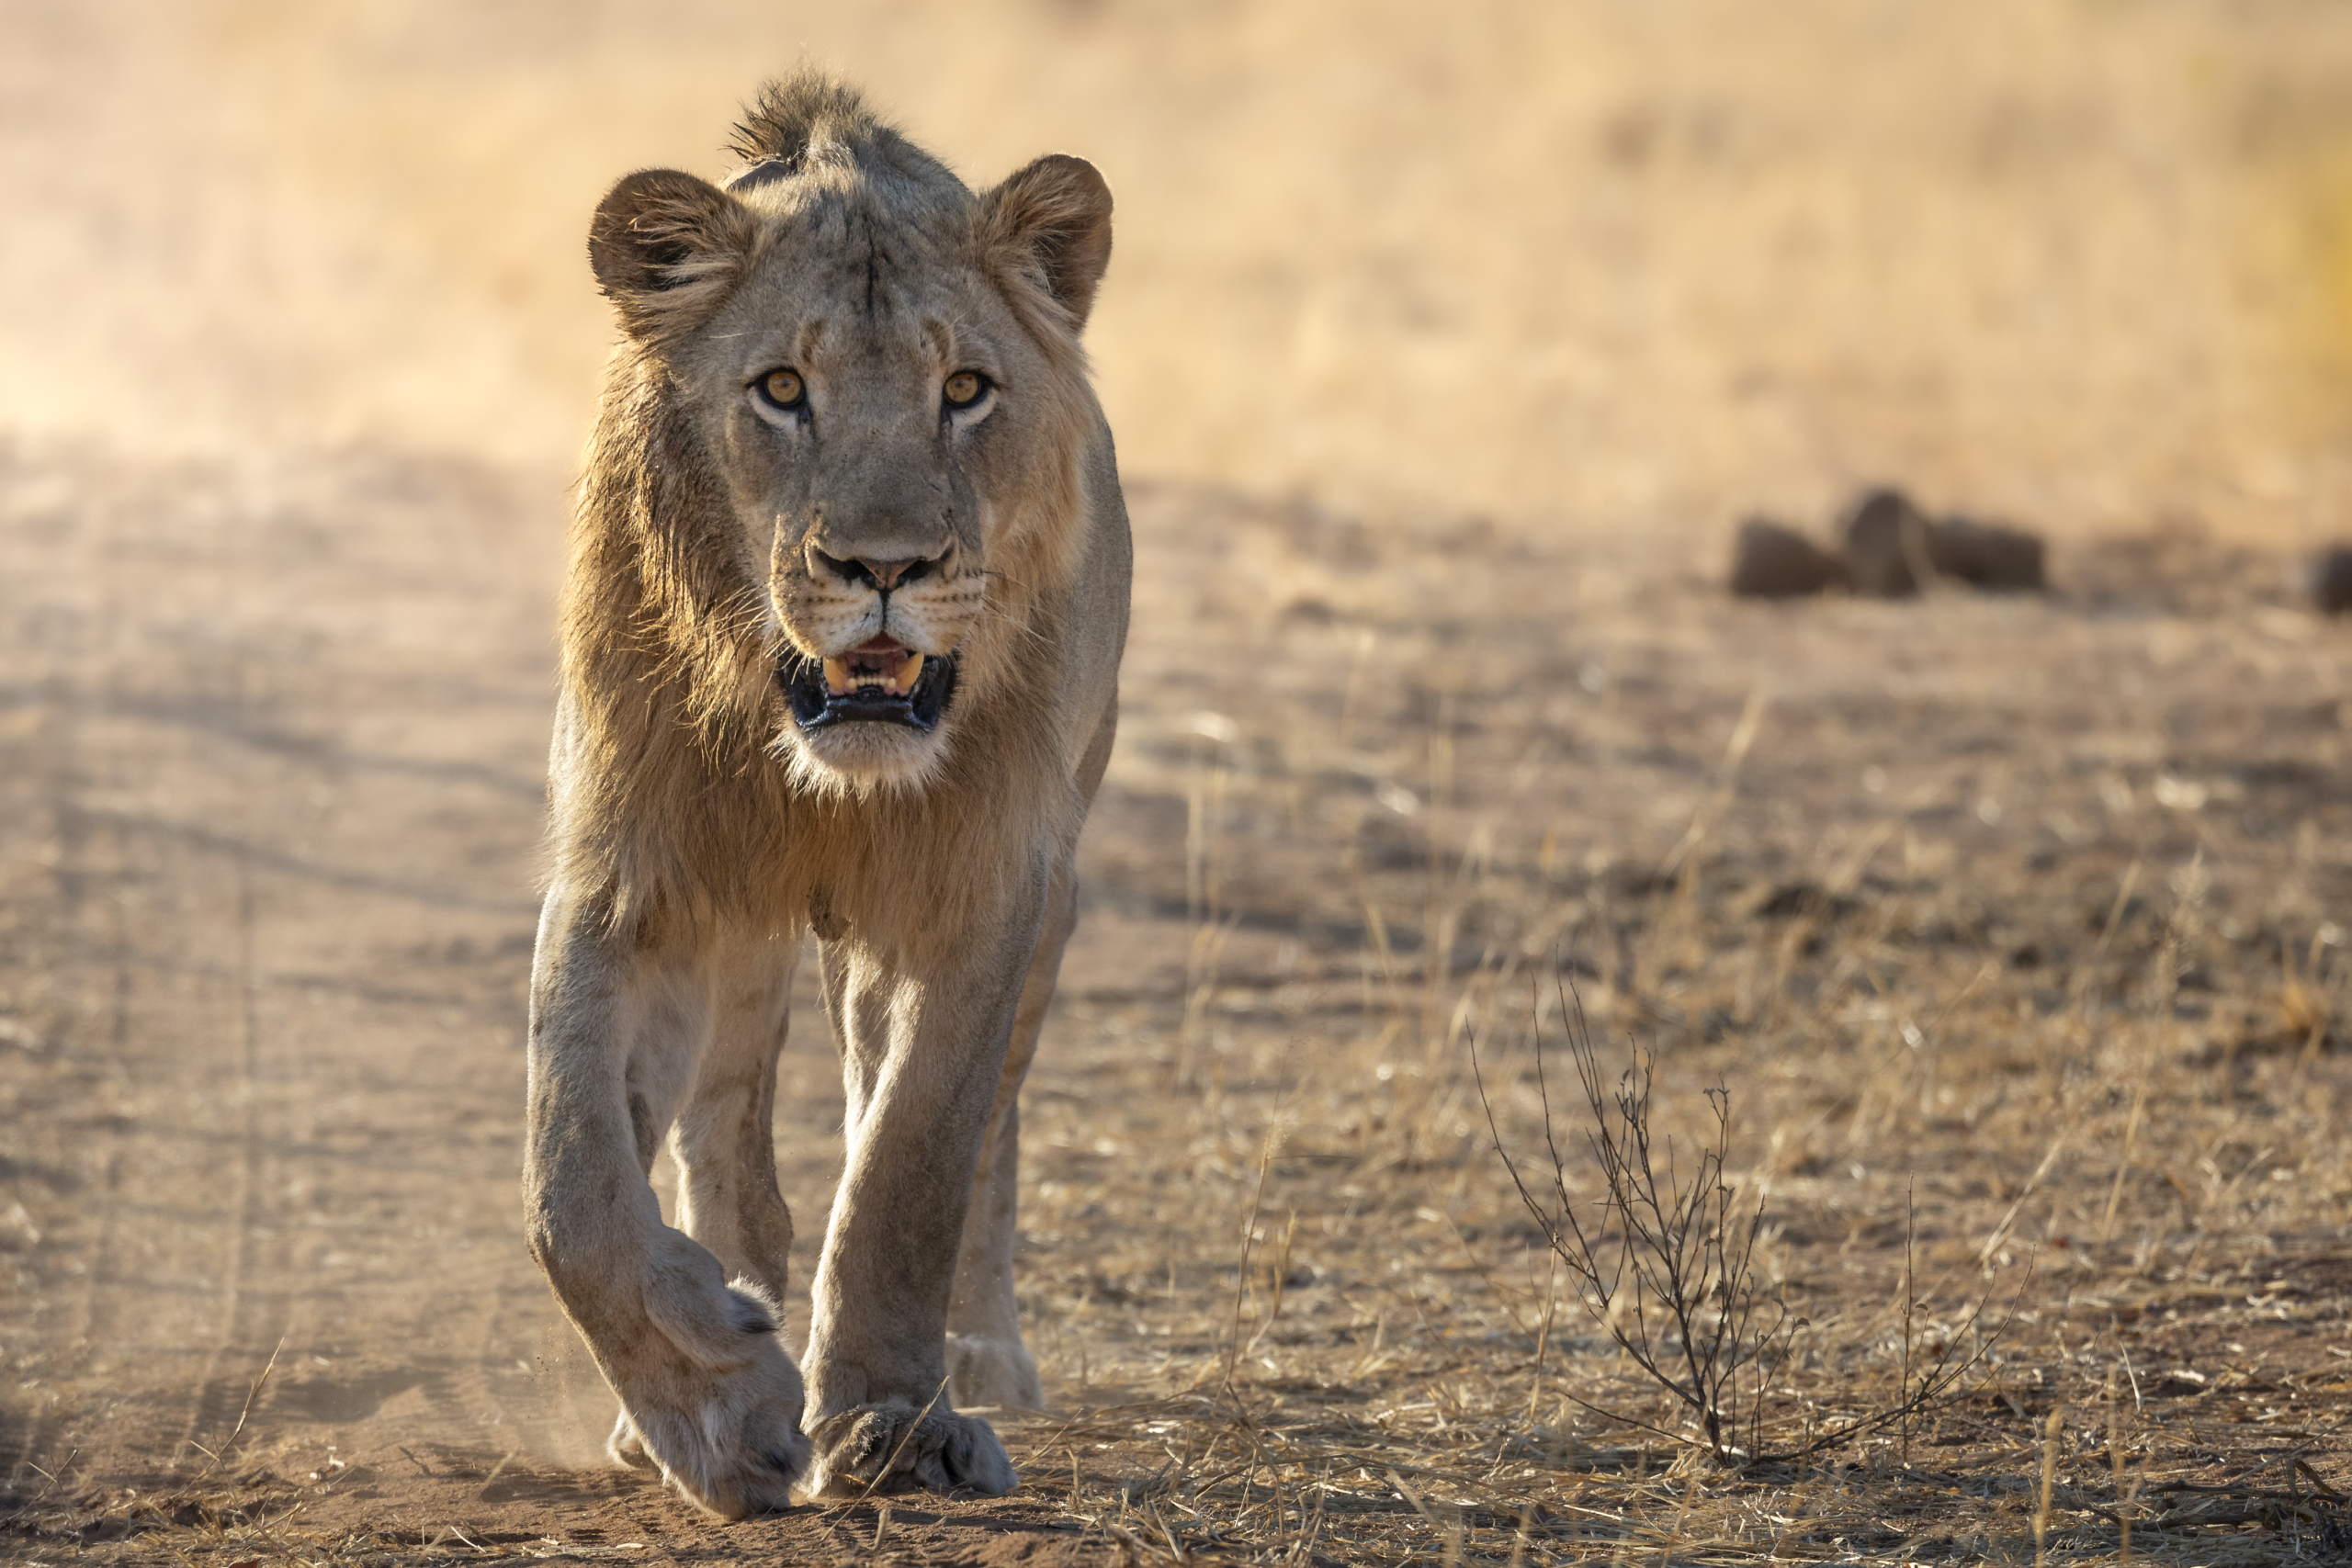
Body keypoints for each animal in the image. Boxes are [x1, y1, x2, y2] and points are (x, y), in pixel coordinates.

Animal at [522, 72, 1128, 1518]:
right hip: (740, 928)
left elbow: (912, 1159)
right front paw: (719, 1408)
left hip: (1048, 892)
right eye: (782, 390)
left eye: (964, 388)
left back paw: (976, 1353)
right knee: (720, 1135)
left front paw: (896, 1419)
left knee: (965, 1129)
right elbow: (572, 1177)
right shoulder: (629, 871)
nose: (884, 566)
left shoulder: (983, 884)